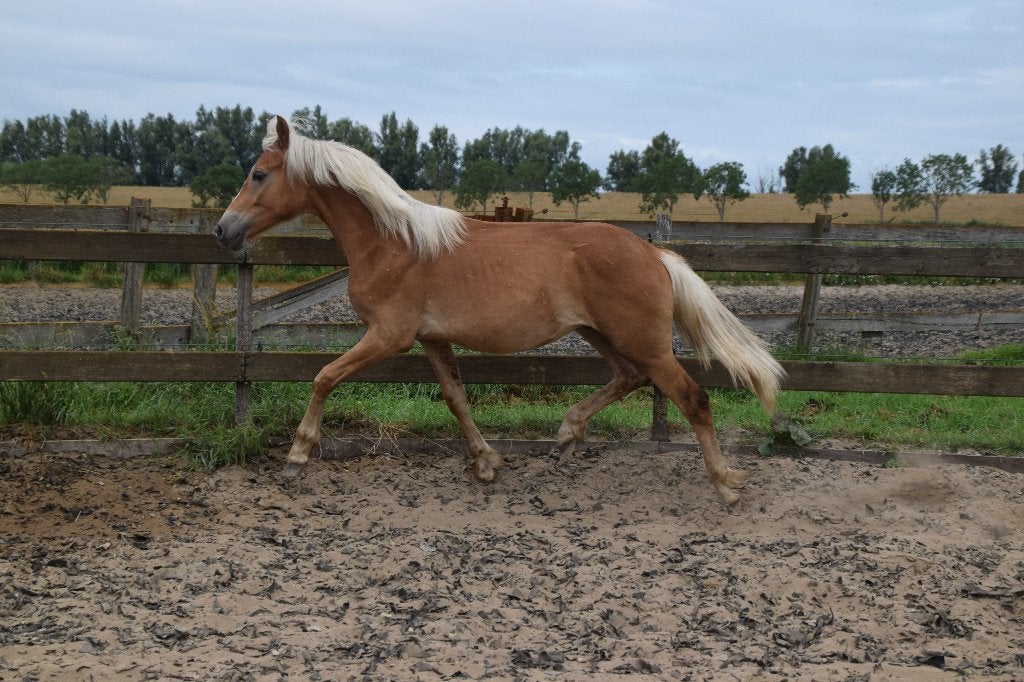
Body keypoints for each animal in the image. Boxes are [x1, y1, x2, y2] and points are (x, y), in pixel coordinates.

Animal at [215, 116, 785, 505]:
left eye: (259, 174)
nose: (223, 230)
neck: (394, 243)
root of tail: (654, 253)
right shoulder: (431, 339)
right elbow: (456, 398)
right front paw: (487, 462)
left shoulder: (388, 336)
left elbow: (323, 378)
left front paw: (296, 457)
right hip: (602, 334)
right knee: (628, 378)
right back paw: (566, 435)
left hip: (643, 341)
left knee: (692, 398)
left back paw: (725, 484)